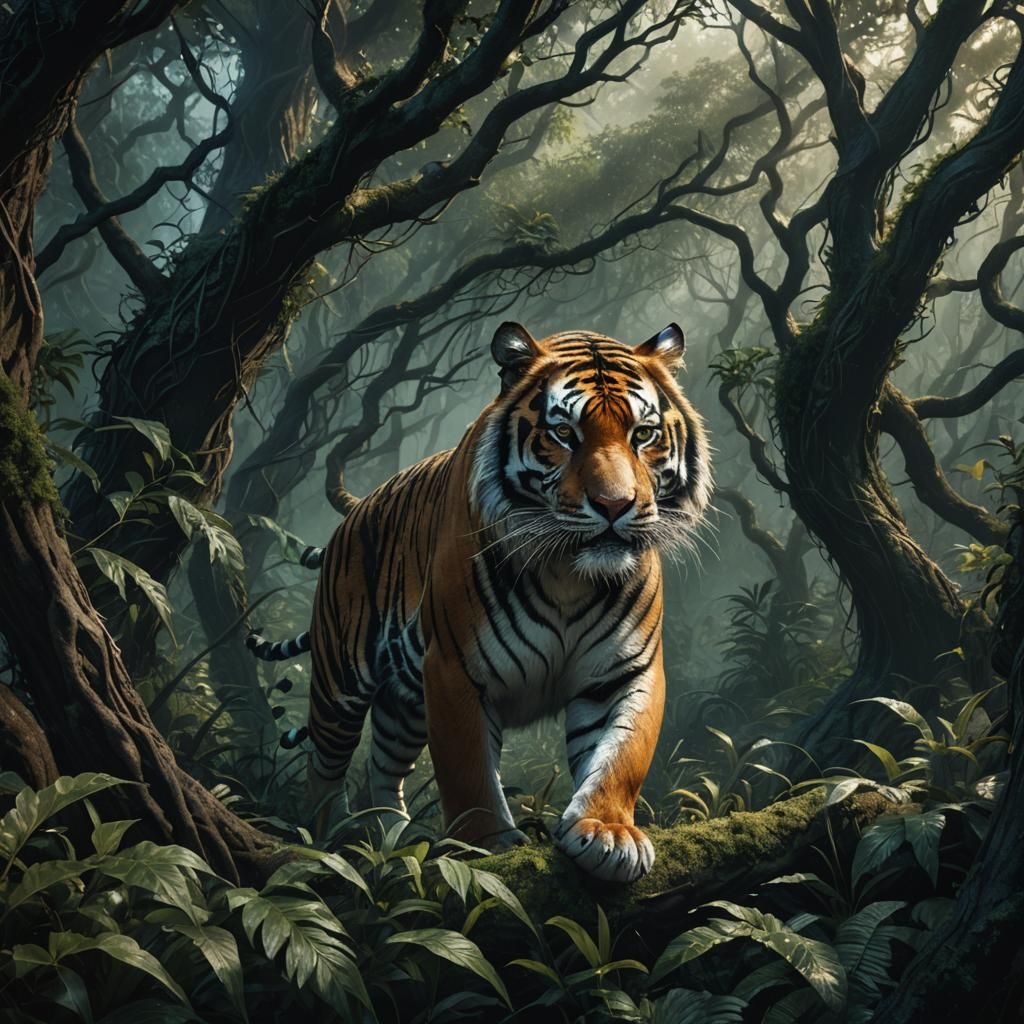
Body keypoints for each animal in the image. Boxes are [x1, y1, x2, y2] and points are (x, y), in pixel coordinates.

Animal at [248, 321, 711, 882]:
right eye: (563, 434)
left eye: (642, 435)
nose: (614, 505)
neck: (569, 572)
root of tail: (356, 511)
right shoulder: (454, 670)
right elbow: (467, 770)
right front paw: (483, 848)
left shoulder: (626, 672)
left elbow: (622, 757)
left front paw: (608, 833)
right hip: (340, 683)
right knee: (324, 766)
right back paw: (328, 841)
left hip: (404, 705)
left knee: (383, 771)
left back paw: (393, 840)